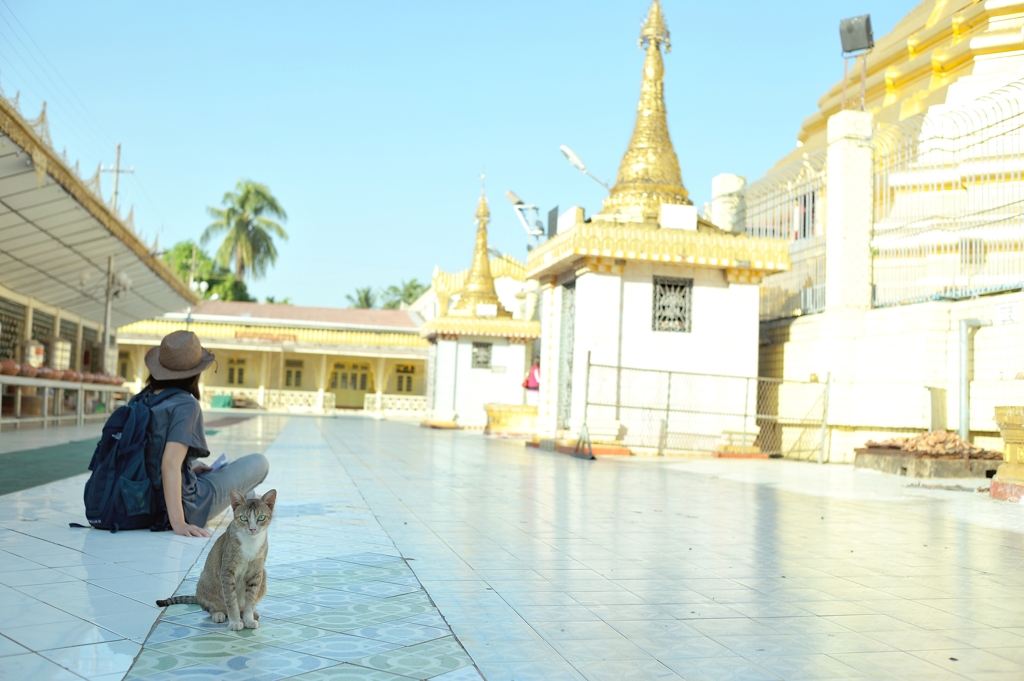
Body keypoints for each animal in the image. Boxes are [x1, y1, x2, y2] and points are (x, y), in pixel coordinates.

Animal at [154, 485, 276, 630]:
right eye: (243, 518)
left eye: (261, 518)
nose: (252, 529)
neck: (250, 543)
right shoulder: (227, 570)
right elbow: (231, 600)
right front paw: (235, 621)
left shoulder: (256, 572)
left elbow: (250, 600)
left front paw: (248, 619)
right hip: (205, 580)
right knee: (211, 608)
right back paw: (218, 614)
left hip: (263, 576)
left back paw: (249, 613)